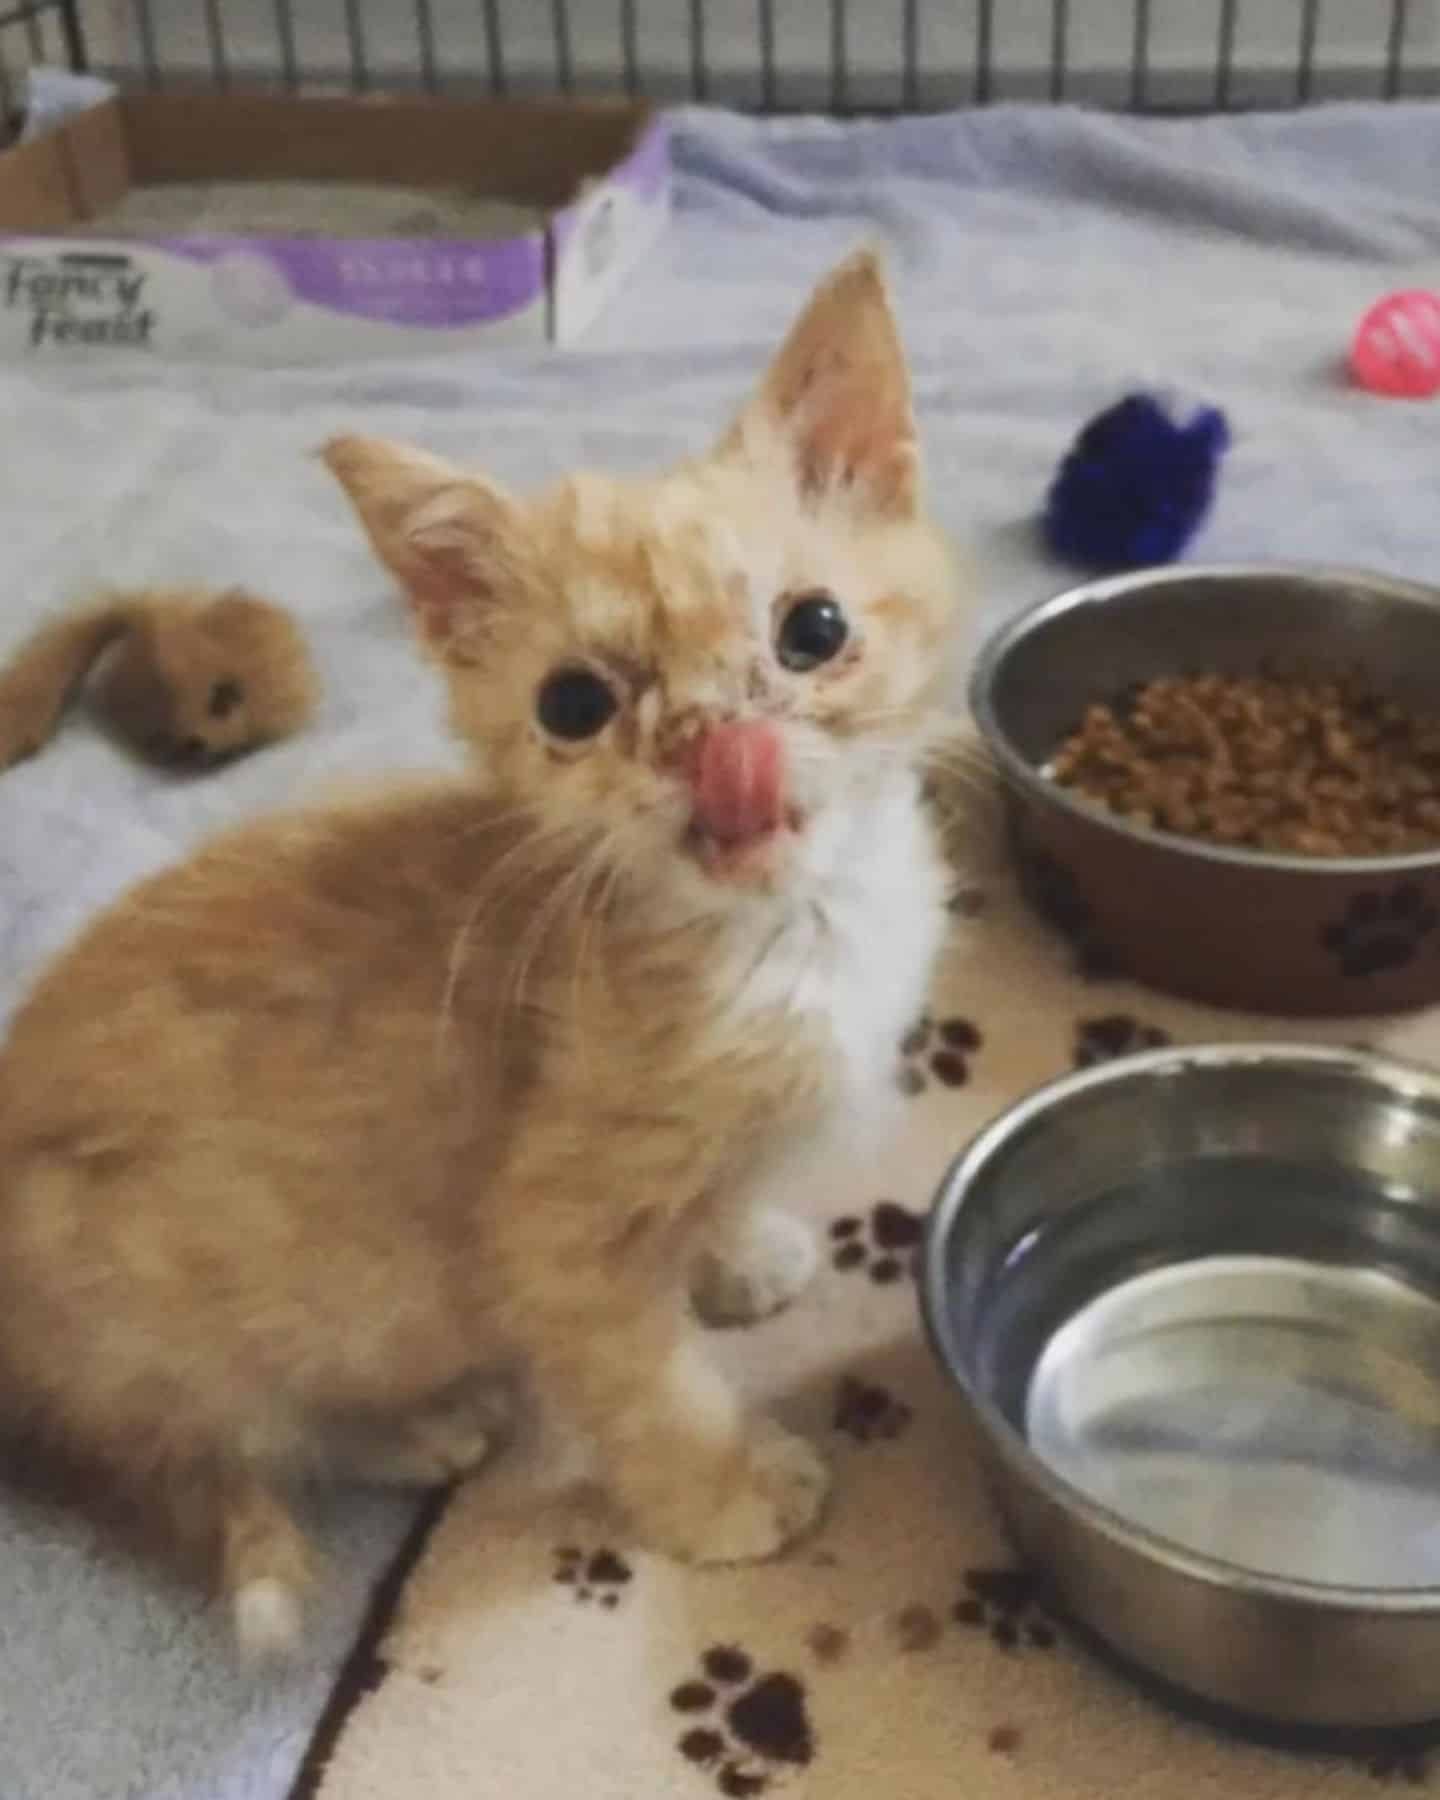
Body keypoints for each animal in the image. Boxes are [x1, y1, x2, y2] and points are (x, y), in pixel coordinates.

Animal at [2, 250, 964, 1648]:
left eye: (815, 629)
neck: (789, 931)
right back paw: (419, 1425)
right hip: (252, 1301)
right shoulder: (554, 1232)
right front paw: (725, 1491)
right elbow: (649, 1383)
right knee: (239, 1429)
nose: (712, 746)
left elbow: (716, 1207)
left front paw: (737, 1252)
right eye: (575, 704)